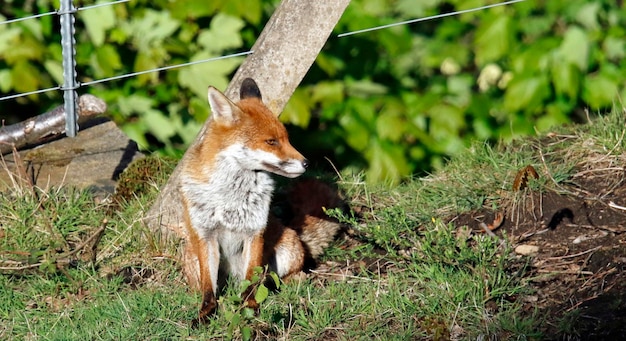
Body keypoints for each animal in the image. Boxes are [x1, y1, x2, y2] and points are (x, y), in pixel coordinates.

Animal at [178, 77, 338, 322]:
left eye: (287, 139)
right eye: (271, 142)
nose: (306, 163)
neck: (228, 197)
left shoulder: (254, 230)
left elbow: (251, 282)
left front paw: (250, 308)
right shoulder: (205, 235)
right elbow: (208, 289)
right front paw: (205, 314)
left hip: (287, 252)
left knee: (277, 278)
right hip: (191, 258)